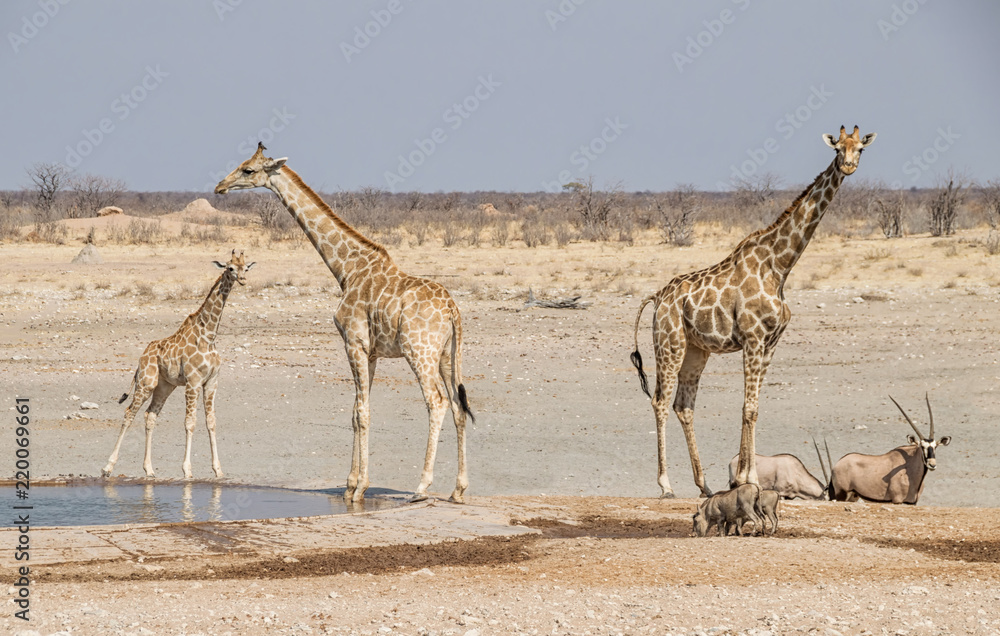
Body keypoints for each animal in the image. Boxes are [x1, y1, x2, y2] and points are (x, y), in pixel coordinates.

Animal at [102, 249, 254, 479]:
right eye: (230, 268)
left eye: (245, 267)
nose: (243, 279)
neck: (209, 335)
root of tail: (140, 359)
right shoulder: (193, 381)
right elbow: (190, 422)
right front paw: (187, 470)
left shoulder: (212, 382)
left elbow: (211, 422)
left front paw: (218, 470)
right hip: (146, 383)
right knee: (129, 413)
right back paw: (108, 467)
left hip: (164, 387)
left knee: (150, 415)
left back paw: (149, 469)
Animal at [214, 143, 475, 504]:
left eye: (248, 170)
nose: (219, 186)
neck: (346, 269)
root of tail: (452, 308)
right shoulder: (371, 351)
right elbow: (355, 411)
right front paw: (351, 484)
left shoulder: (354, 343)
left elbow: (361, 413)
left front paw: (359, 487)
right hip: (448, 356)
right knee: (459, 406)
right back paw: (458, 489)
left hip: (419, 352)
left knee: (436, 403)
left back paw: (422, 488)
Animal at [631, 126, 876, 498]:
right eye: (837, 148)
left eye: (860, 148)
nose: (848, 165)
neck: (780, 266)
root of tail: (657, 298)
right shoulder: (752, 337)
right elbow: (747, 407)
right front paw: (749, 479)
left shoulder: (771, 342)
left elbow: (755, 408)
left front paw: (746, 477)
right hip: (669, 343)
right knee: (660, 402)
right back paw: (666, 484)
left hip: (697, 349)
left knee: (683, 406)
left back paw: (704, 485)